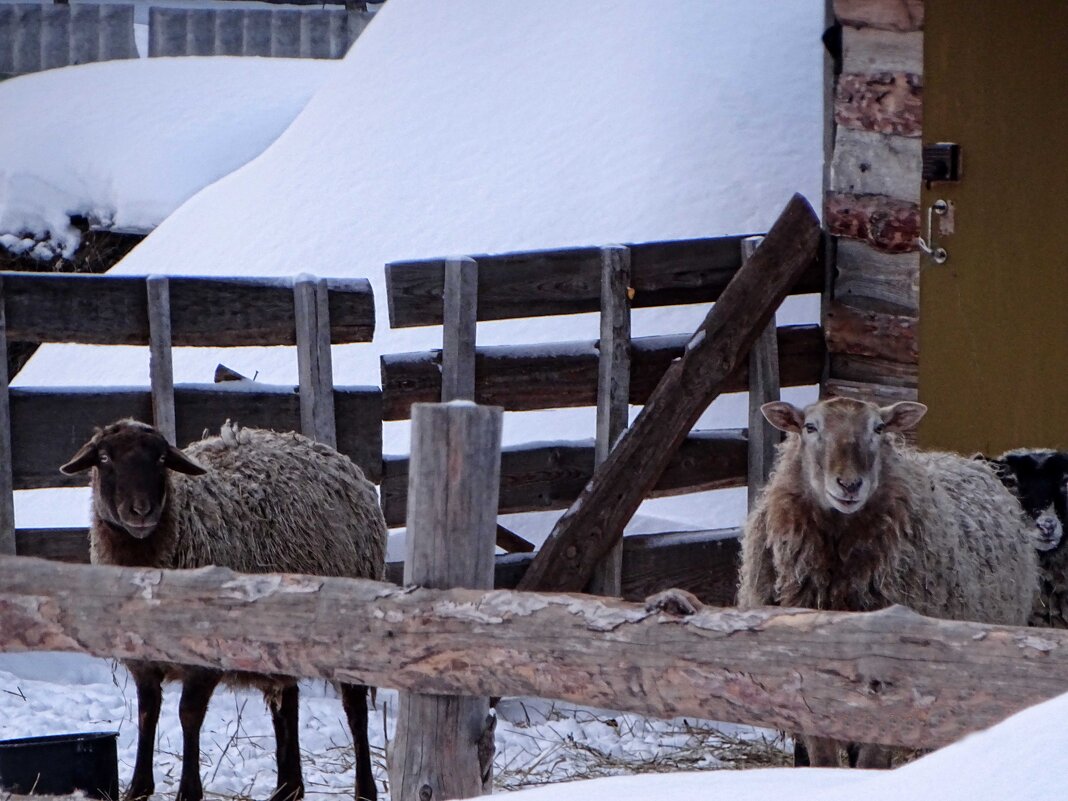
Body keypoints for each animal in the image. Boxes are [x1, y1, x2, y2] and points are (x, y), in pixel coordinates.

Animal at [62, 420, 388, 801]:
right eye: (104, 458)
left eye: (161, 458)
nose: (141, 512)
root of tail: (334, 456)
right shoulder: (142, 660)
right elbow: (147, 713)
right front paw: (138, 789)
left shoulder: (205, 659)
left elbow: (188, 715)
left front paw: (188, 791)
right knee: (286, 703)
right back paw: (287, 789)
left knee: (355, 709)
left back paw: (363, 790)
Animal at [739, 399, 1038, 773]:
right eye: (810, 427)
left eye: (878, 428)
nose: (850, 484)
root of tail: (969, 461)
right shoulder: (803, 685)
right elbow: (823, 757)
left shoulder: (893, 684)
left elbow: (872, 761)